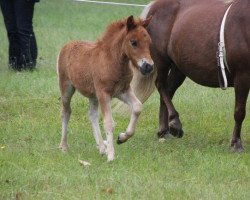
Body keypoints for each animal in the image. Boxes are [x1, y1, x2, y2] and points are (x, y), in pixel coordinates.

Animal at [57, 16, 153, 162]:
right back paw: (64, 146)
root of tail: (67, 45)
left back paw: (102, 147)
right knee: (66, 111)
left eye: (149, 42)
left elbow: (137, 107)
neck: (113, 61)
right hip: (66, 88)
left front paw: (122, 138)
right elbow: (109, 122)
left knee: (92, 115)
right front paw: (111, 155)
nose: (148, 66)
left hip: (93, 95)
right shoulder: (104, 93)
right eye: (133, 42)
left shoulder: (123, 91)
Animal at [132, 0, 249, 151]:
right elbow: (240, 112)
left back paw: (164, 131)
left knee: (168, 90)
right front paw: (236, 143)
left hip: (179, 67)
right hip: (162, 61)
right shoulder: (242, 75)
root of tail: (154, 6)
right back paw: (174, 123)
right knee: (161, 85)